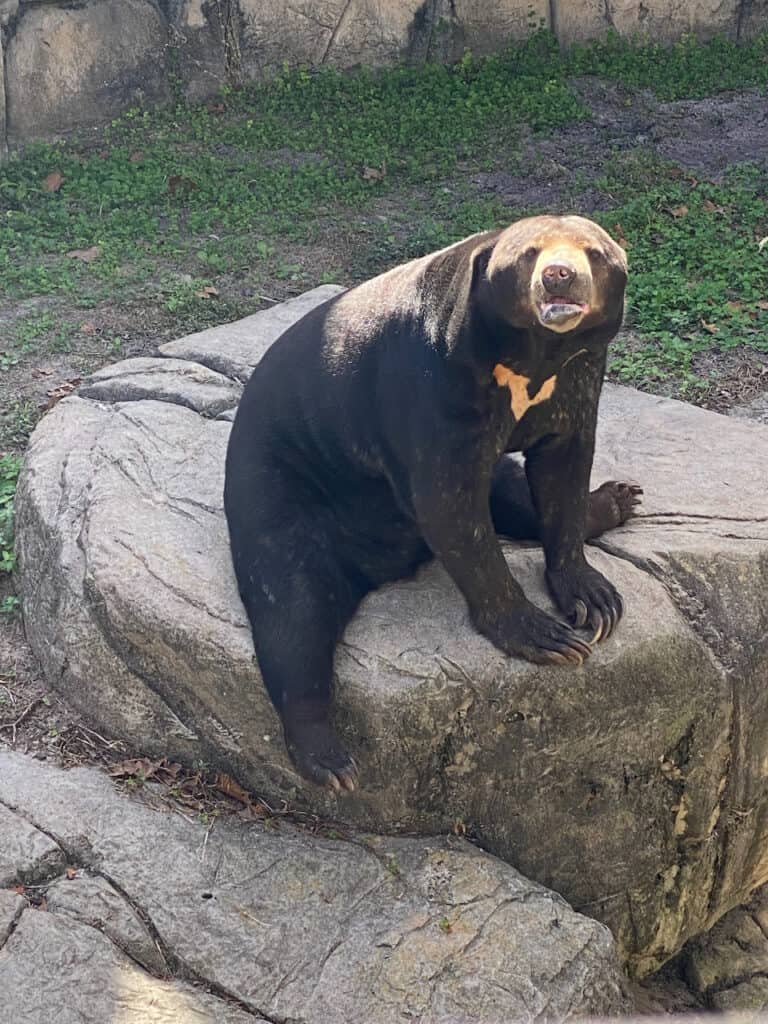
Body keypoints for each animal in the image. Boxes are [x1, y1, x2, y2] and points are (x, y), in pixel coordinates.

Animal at [224, 216, 643, 790]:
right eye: (529, 254)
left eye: (594, 254)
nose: (559, 276)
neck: (532, 359)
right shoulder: (432, 385)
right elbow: (450, 506)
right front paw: (546, 636)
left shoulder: (578, 378)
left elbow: (563, 471)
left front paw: (595, 600)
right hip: (274, 494)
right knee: (293, 611)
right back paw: (329, 759)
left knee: (512, 497)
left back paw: (618, 500)